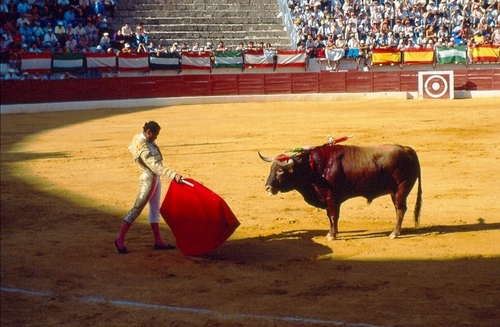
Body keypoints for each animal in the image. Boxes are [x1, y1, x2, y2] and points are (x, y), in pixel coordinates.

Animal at [262, 144, 422, 241]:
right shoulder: (328, 200)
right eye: (271, 169)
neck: (313, 167)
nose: (267, 188)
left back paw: (394, 233)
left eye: (280, 171)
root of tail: (408, 149)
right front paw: (331, 233)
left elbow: (333, 216)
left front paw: (332, 236)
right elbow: (330, 216)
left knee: (400, 210)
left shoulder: (332, 197)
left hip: (400, 190)